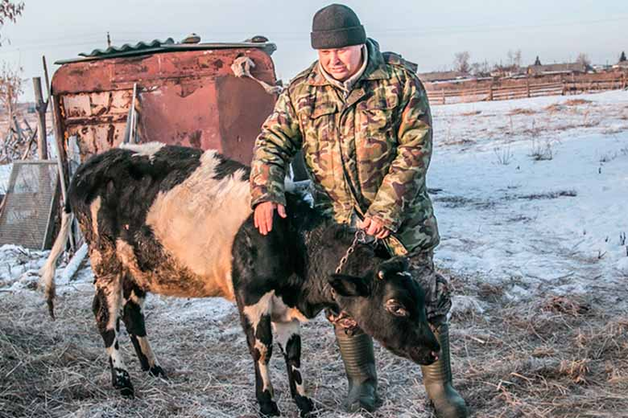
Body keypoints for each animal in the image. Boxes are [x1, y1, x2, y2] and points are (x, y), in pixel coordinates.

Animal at [41, 143, 440, 414]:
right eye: (396, 306)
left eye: (421, 300)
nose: (434, 349)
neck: (292, 240)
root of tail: (90, 163)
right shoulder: (251, 296)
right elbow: (261, 348)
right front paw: (267, 403)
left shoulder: (287, 305)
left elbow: (294, 353)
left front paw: (304, 402)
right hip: (104, 259)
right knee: (105, 316)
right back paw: (123, 382)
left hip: (138, 265)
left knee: (132, 312)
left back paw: (153, 368)